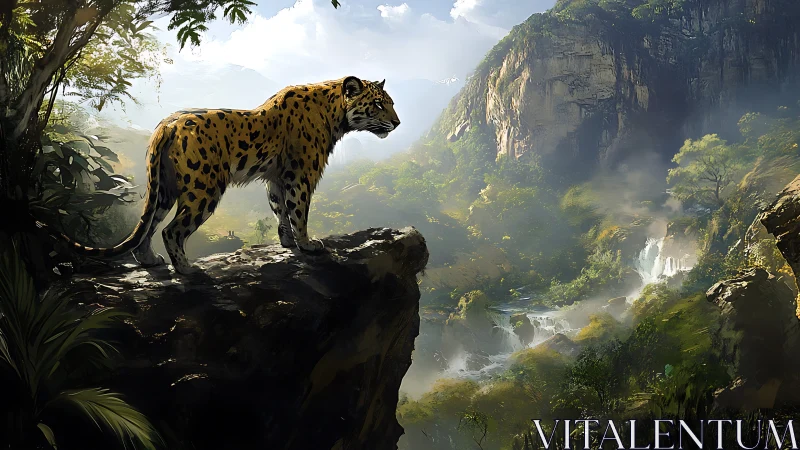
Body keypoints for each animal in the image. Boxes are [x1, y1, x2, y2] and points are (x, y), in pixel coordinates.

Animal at [46, 76, 401, 274]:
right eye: (378, 105)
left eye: (391, 103)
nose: (397, 123)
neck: (334, 112)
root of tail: (167, 125)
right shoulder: (301, 175)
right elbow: (298, 210)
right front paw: (308, 244)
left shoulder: (276, 177)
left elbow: (280, 210)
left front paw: (287, 242)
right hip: (204, 188)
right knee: (172, 230)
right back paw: (188, 270)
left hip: (164, 189)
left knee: (149, 227)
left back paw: (150, 261)